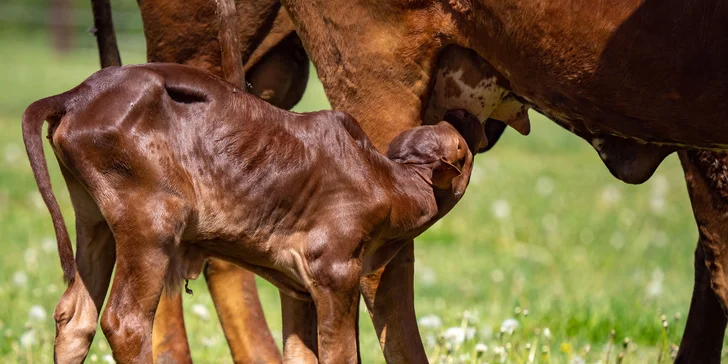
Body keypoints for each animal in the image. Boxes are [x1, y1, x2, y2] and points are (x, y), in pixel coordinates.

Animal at [21, 64, 478, 362]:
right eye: (460, 145)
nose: (461, 113)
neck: (389, 182)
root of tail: (77, 94)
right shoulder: (335, 271)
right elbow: (341, 356)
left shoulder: (298, 287)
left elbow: (301, 355)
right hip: (152, 222)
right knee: (125, 322)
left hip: (94, 221)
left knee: (75, 319)